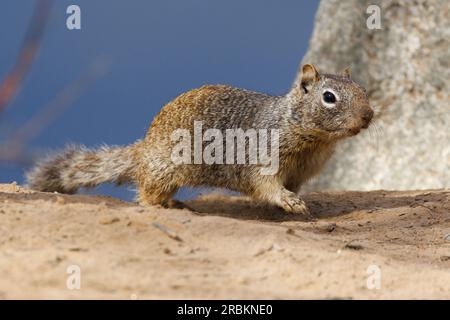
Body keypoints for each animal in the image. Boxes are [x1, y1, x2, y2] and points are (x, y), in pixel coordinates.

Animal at [26, 64, 374, 218]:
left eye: (363, 90)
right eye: (329, 97)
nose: (368, 115)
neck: (312, 140)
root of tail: (143, 148)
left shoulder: (301, 171)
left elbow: (290, 187)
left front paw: (295, 200)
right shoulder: (264, 157)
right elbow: (266, 185)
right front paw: (288, 201)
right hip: (165, 169)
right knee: (146, 192)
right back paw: (163, 205)